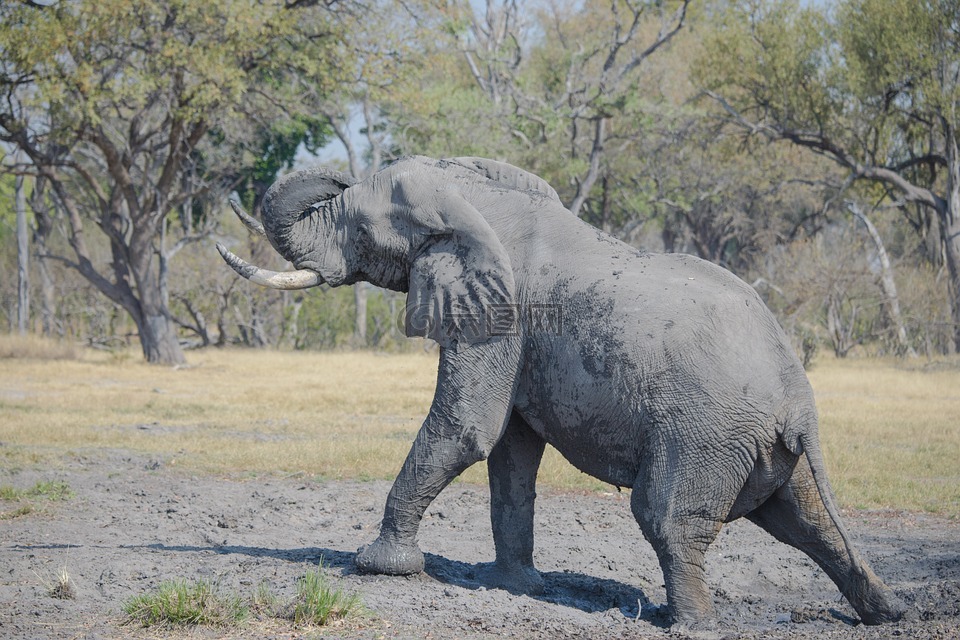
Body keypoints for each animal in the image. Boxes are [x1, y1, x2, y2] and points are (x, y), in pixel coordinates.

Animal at [217, 155, 908, 626]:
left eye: (359, 226)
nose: (341, 171)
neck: (475, 202)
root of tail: (799, 400)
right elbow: (511, 453)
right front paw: (516, 586)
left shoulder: (500, 316)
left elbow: (469, 428)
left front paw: (380, 566)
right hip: (765, 447)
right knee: (806, 523)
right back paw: (888, 614)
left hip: (706, 431)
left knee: (668, 519)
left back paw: (690, 624)